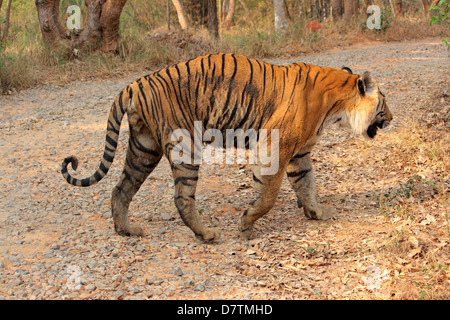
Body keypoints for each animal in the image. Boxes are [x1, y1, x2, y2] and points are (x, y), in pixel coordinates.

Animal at [61, 53, 392, 242]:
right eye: (384, 102)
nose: (391, 118)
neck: (338, 106)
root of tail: (135, 84)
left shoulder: (299, 154)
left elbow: (307, 184)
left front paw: (317, 213)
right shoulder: (276, 146)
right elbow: (269, 195)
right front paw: (246, 227)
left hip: (144, 148)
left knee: (121, 189)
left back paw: (127, 231)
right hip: (184, 147)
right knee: (181, 197)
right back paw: (207, 234)